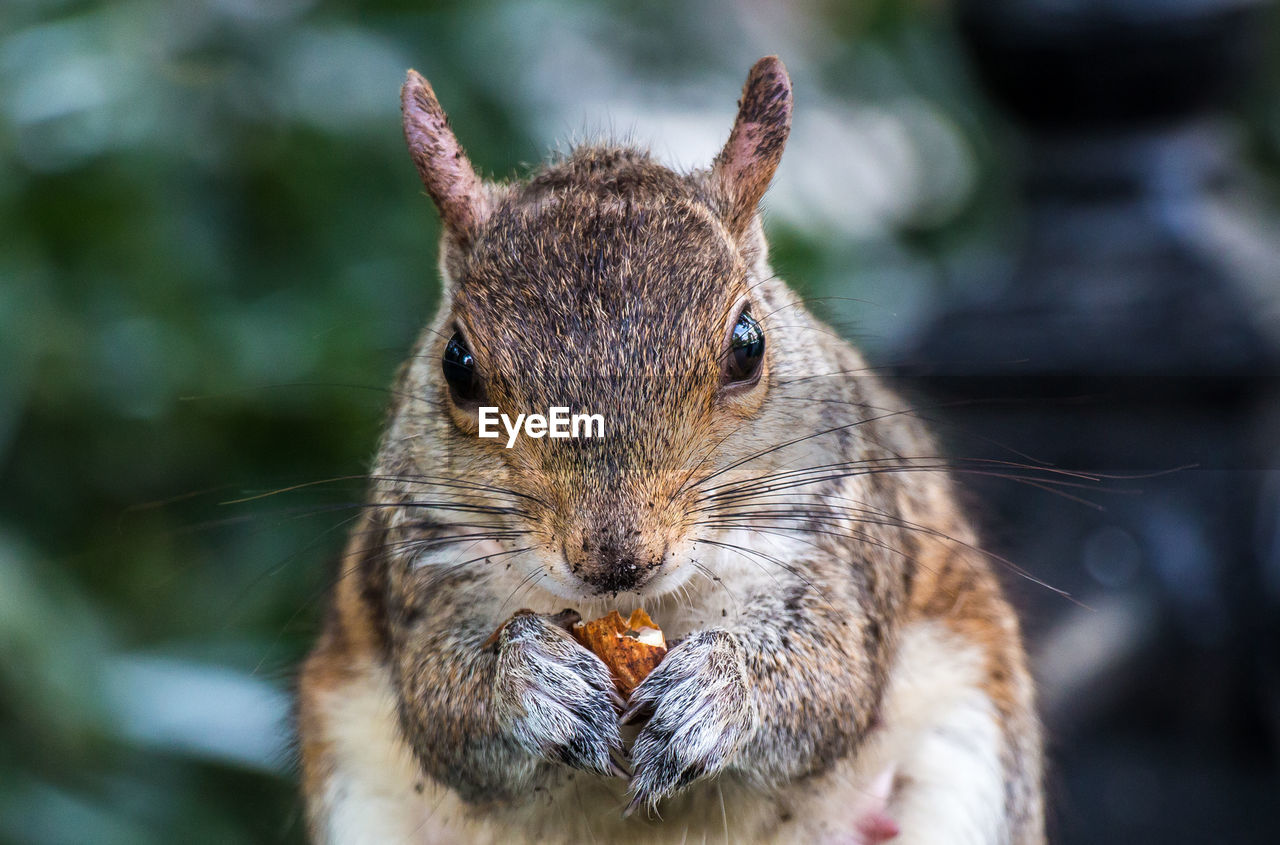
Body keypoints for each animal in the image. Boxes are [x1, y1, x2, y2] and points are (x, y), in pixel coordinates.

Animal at [296, 56, 1039, 839]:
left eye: (748, 345)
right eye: (457, 365)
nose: (617, 561)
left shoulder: (838, 541)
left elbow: (828, 678)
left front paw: (718, 690)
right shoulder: (424, 566)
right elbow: (440, 702)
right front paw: (531, 678)